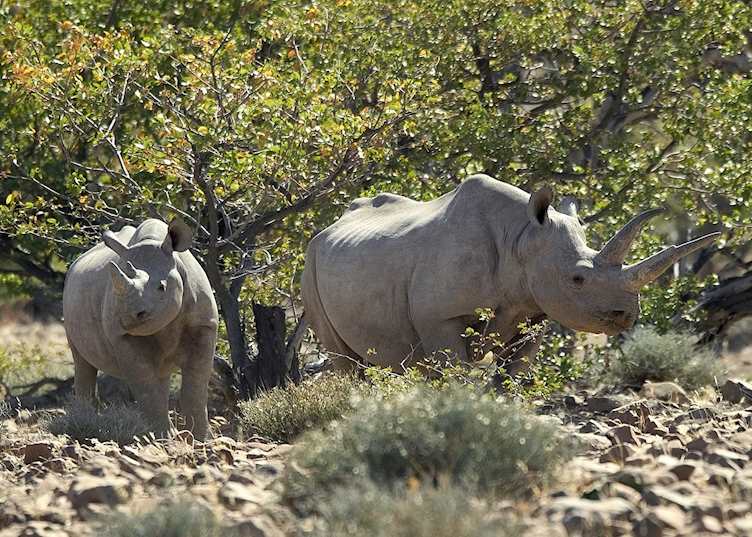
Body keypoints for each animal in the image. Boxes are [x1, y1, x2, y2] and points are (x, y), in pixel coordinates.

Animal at [63, 218, 218, 439]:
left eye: (162, 287)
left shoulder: (204, 324)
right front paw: (162, 438)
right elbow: (145, 385)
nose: (128, 316)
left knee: (162, 373)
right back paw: (85, 421)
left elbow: (197, 383)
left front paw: (201, 438)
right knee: (82, 361)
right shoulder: (123, 337)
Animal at [302, 174, 719, 370]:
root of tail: (329, 227)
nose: (626, 315)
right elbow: (453, 367)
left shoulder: (535, 309)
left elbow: (514, 370)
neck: (522, 238)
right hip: (310, 261)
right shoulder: (441, 315)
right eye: (578, 279)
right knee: (344, 360)